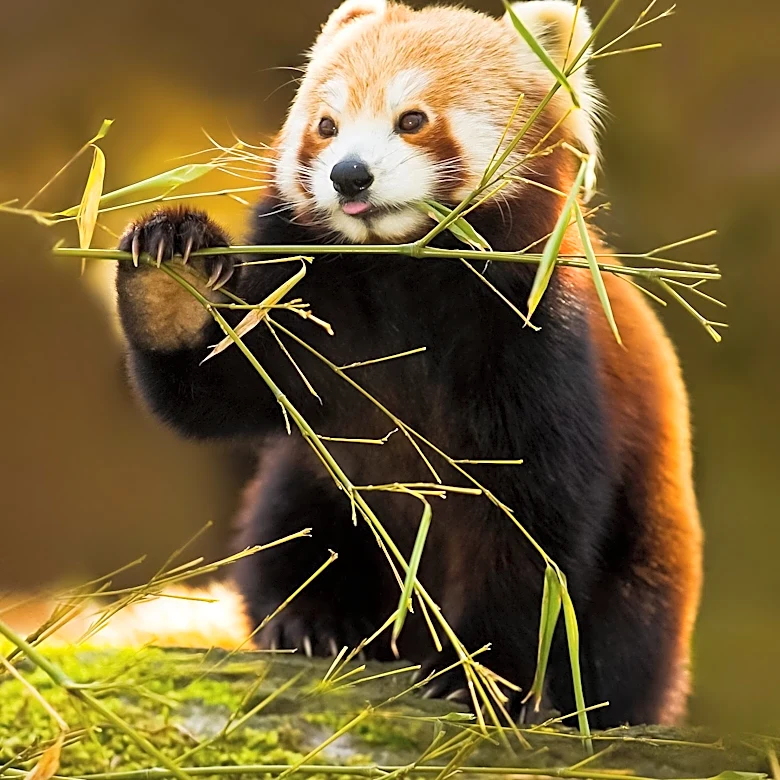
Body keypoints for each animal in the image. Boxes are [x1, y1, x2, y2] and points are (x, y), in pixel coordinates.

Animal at [114, 0, 703, 727]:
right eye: (326, 126)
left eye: (412, 119)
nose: (349, 174)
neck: (401, 272)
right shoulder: (310, 307)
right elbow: (214, 391)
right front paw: (171, 277)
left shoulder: (537, 336)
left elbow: (533, 518)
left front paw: (481, 675)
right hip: (310, 481)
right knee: (289, 531)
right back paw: (310, 622)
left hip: (649, 553)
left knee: (626, 633)